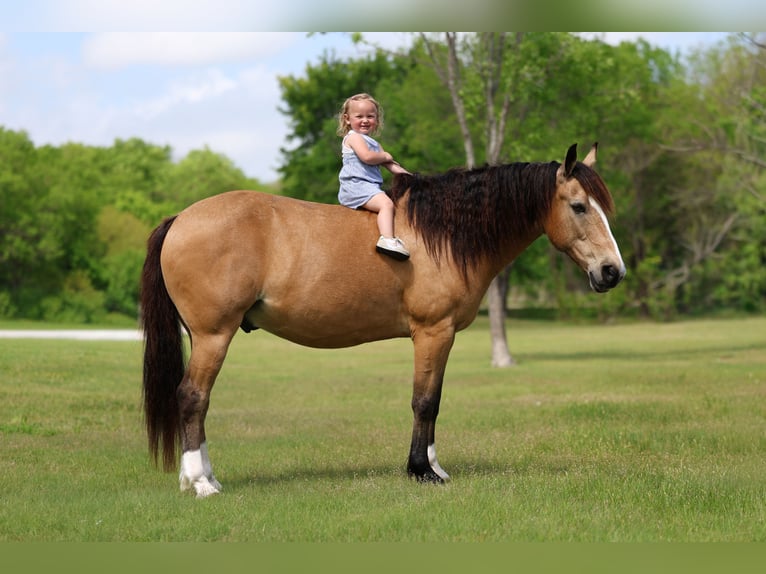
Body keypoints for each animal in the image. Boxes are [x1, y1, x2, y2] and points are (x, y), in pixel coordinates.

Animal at [140, 143, 625, 498]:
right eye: (579, 206)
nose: (612, 272)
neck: (443, 234)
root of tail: (180, 218)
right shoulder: (433, 332)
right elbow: (424, 401)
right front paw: (421, 471)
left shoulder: (440, 337)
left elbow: (434, 400)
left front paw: (433, 465)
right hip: (213, 335)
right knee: (192, 397)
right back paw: (200, 482)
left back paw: (205, 477)